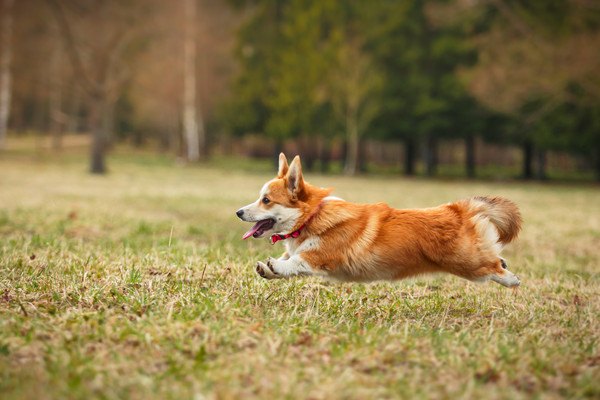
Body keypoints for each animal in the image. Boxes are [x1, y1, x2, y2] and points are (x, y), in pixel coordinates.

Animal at [236, 153, 520, 288]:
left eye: (266, 200)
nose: (238, 212)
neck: (311, 217)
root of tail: (458, 209)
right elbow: (286, 263)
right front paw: (268, 269)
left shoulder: (321, 257)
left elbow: (296, 262)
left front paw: (275, 265)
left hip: (466, 263)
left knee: (493, 266)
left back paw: (512, 279)